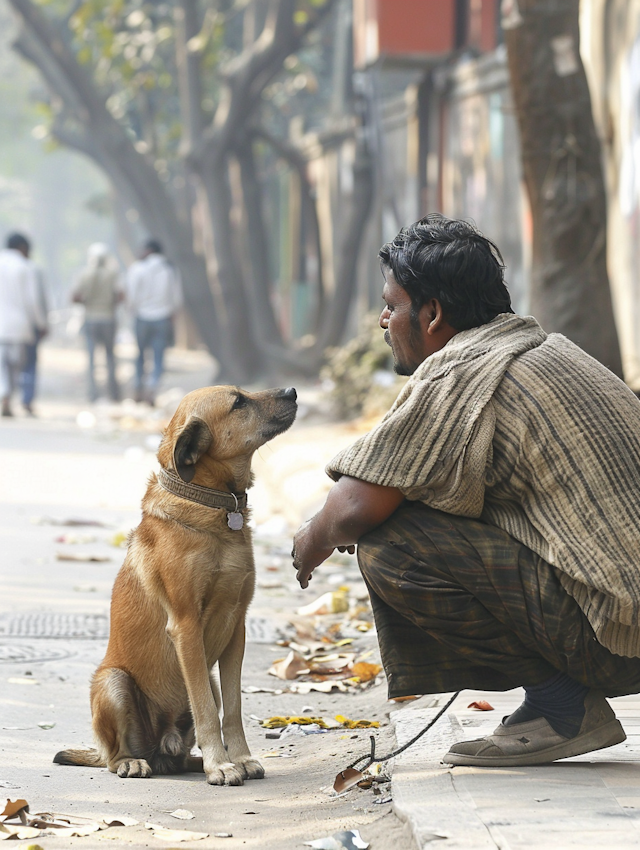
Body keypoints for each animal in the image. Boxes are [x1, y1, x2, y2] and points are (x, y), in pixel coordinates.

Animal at [55, 384, 298, 780]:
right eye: (238, 402)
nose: (293, 391)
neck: (211, 503)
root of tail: (158, 751)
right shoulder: (186, 627)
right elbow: (204, 711)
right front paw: (221, 764)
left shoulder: (237, 627)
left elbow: (232, 709)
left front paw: (239, 757)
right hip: (113, 683)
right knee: (114, 756)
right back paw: (133, 762)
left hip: (204, 683)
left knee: (182, 750)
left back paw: (194, 761)